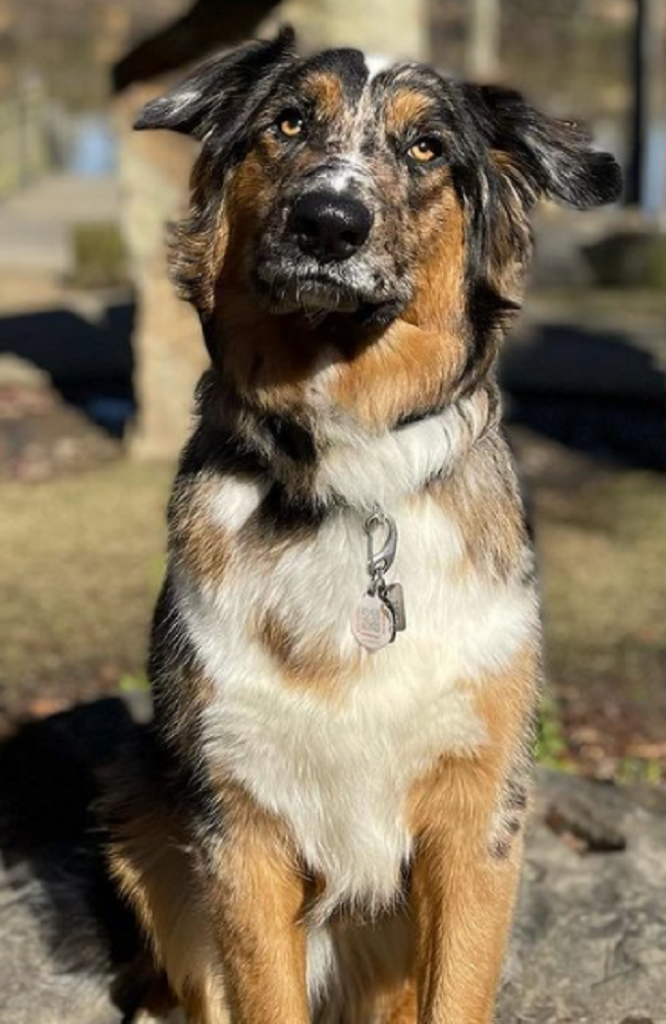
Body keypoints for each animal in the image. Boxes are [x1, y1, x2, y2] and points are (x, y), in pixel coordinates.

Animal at [102, 29, 618, 1024]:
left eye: (426, 149)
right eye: (287, 123)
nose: (329, 222)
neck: (349, 467)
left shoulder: (478, 812)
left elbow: (456, 990)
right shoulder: (240, 815)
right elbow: (260, 993)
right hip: (139, 806)